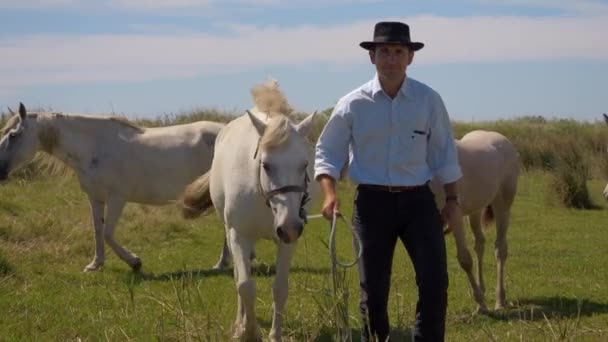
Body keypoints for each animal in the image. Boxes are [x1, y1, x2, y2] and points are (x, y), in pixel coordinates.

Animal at [0, 103, 224, 272]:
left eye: (13, 135)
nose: (0, 170)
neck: (95, 148)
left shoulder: (117, 199)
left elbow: (108, 233)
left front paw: (134, 262)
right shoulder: (95, 197)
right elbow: (98, 229)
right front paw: (95, 264)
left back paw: (221, 265)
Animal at [179, 81, 316, 340]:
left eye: (304, 164)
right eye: (266, 165)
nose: (290, 227)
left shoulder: (287, 242)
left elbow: (280, 288)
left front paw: (275, 335)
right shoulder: (239, 235)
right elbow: (244, 285)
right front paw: (248, 331)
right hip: (231, 232)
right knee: (239, 277)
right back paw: (239, 323)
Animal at [430, 130, 520, 314]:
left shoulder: (455, 217)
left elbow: (464, 259)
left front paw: (481, 304)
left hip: (502, 206)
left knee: (500, 249)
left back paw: (499, 300)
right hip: (475, 212)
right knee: (479, 244)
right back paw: (483, 291)